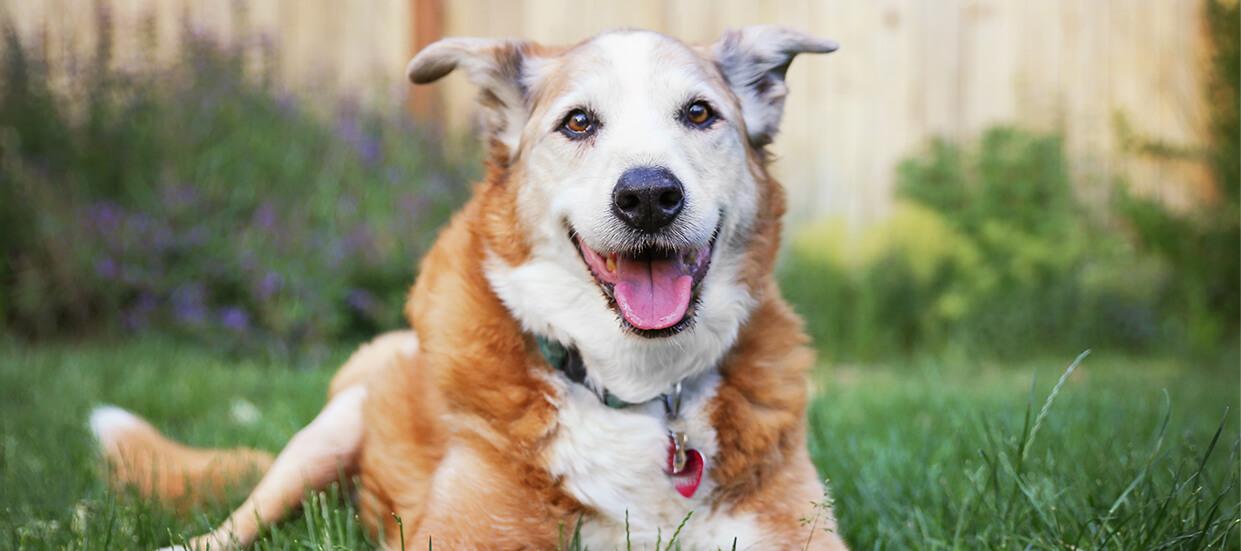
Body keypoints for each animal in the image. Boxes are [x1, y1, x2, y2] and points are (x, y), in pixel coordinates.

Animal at [91, 25, 848, 551]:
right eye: (578, 122)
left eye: (698, 114)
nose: (648, 196)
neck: (638, 389)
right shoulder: (463, 534)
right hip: (327, 433)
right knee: (232, 524)